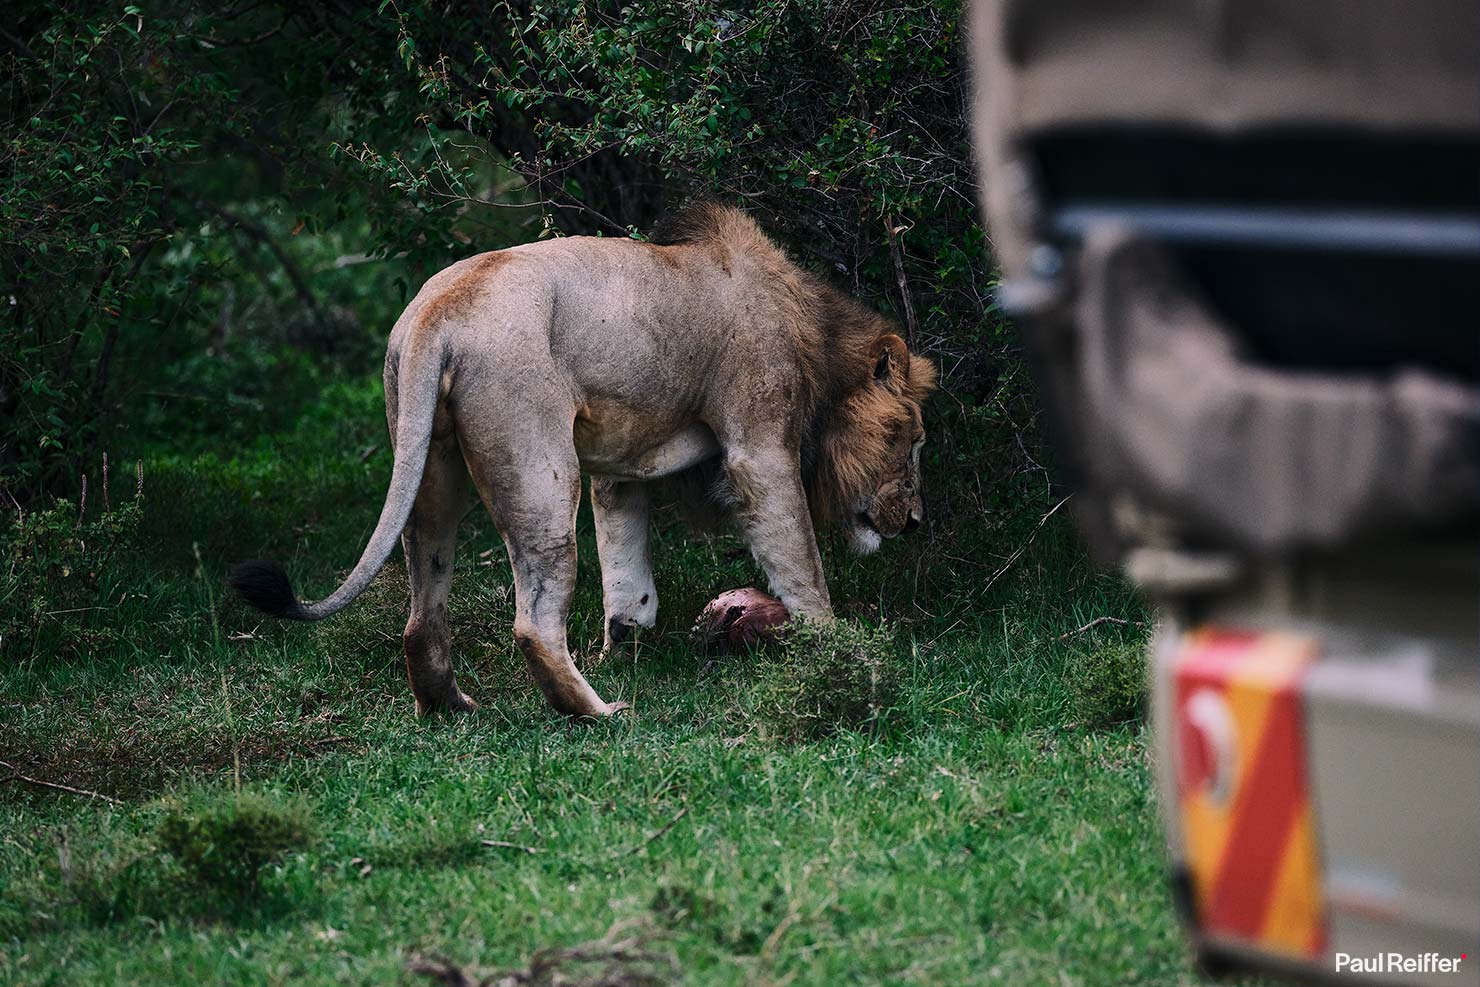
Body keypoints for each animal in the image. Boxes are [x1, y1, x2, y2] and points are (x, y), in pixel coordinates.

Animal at [229, 204, 936, 719]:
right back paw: (597, 712)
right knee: (534, 622)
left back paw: (453, 707)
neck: (814, 337)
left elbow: (626, 562)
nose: (915, 521)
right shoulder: (758, 447)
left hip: (429, 469)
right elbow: (800, 560)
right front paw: (836, 647)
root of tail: (438, 311)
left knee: (421, 614)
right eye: (914, 441)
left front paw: (627, 638)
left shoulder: (622, 464)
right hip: (540, 472)